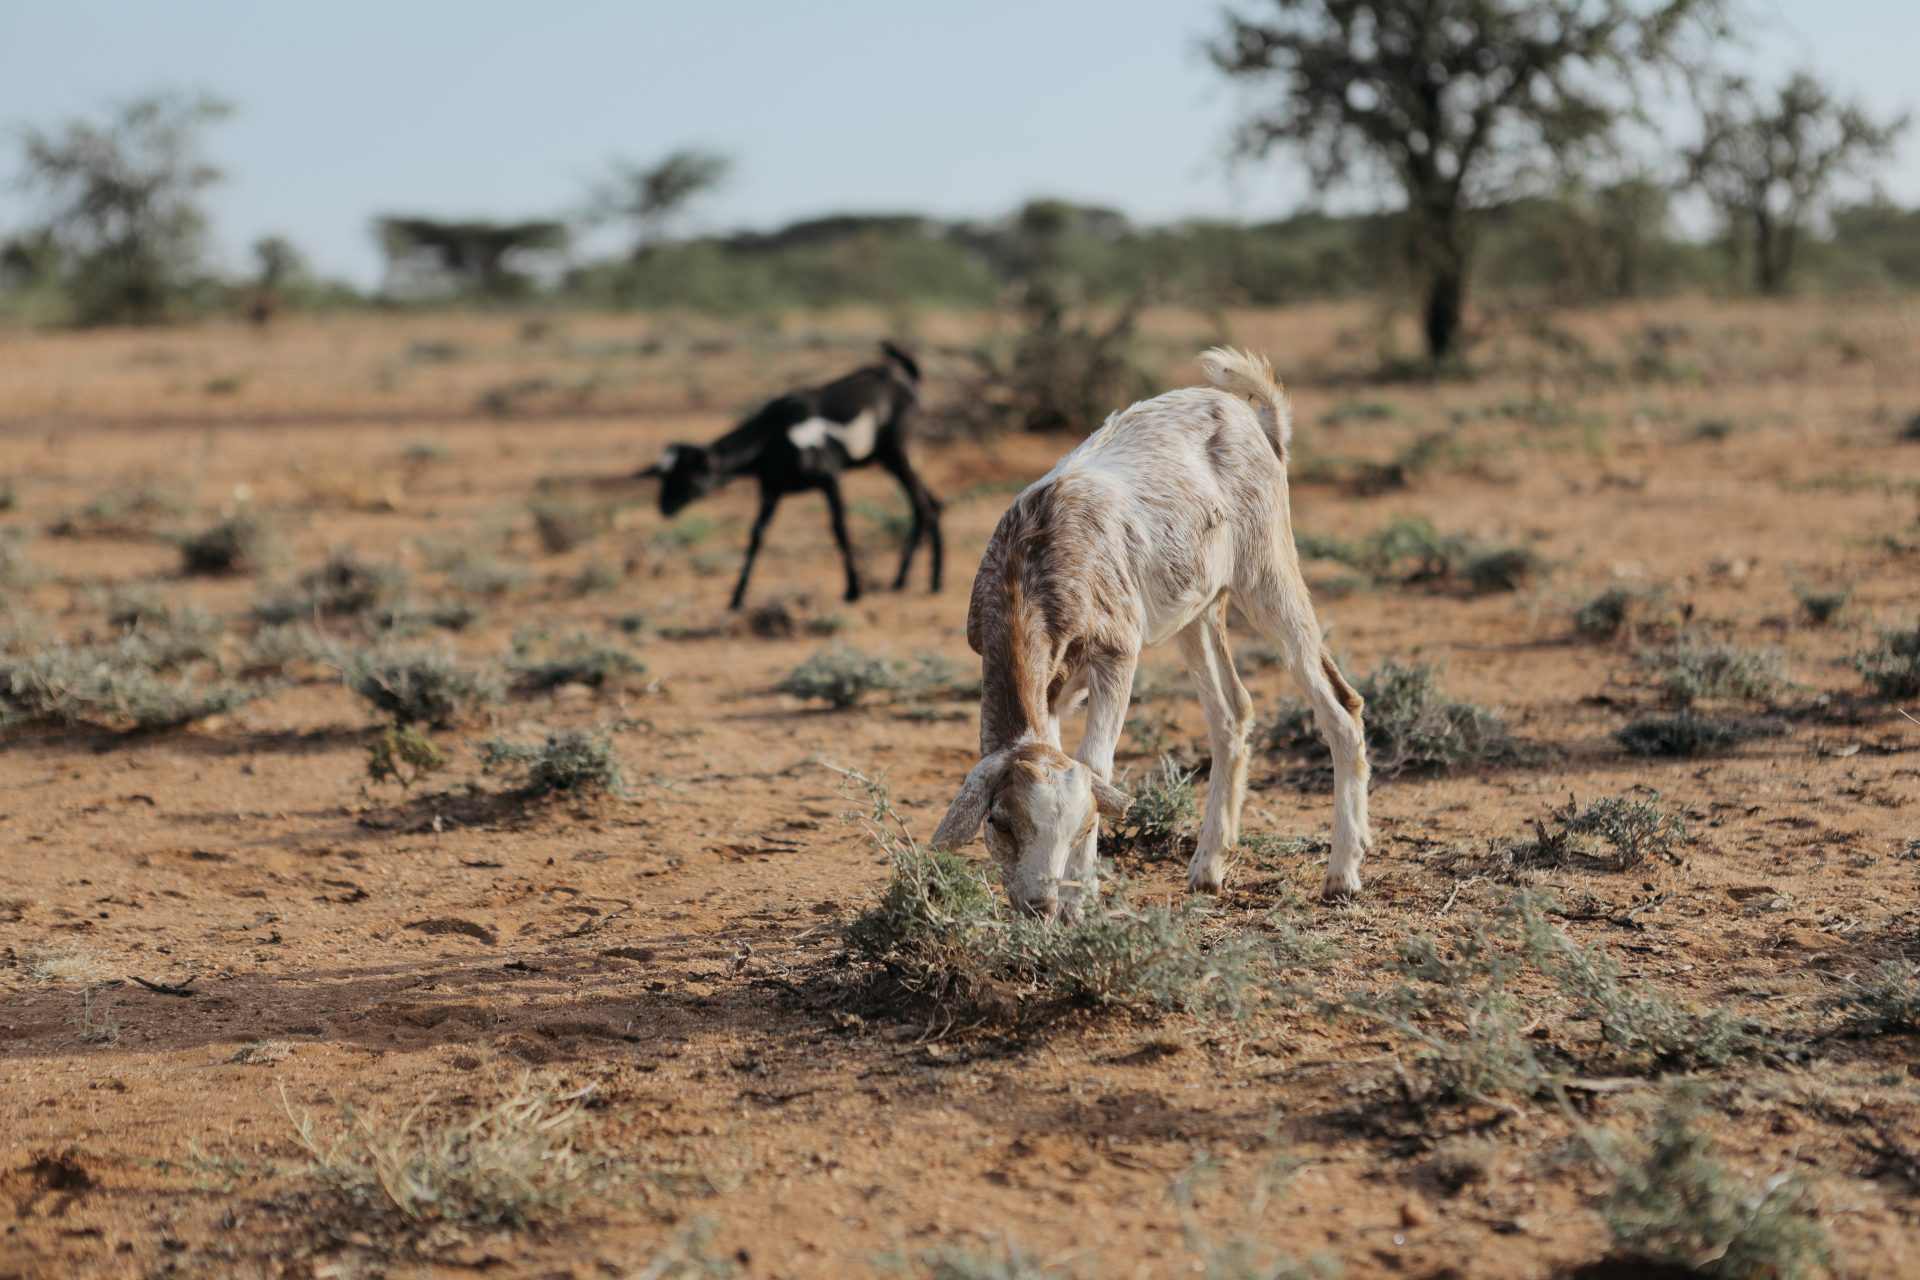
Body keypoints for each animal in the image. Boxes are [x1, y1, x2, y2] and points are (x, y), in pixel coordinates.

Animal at [641, 339, 940, 610]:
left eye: (687, 474)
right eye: (664, 475)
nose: (664, 506)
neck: (773, 434)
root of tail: (906, 378)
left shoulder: (829, 478)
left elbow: (840, 527)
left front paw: (853, 590)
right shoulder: (771, 489)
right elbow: (757, 534)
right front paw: (737, 598)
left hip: (899, 451)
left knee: (922, 506)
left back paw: (907, 578)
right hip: (890, 460)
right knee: (932, 504)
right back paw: (930, 580)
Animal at [925, 345, 1367, 917]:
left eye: (1083, 826)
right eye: (999, 822)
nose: (1039, 904)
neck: (1031, 560)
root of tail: (1257, 419)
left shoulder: (1117, 652)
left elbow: (1097, 762)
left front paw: (1082, 901)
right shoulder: (1054, 683)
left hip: (1268, 573)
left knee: (1340, 704)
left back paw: (1343, 874)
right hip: (1197, 609)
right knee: (1231, 713)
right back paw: (1207, 868)